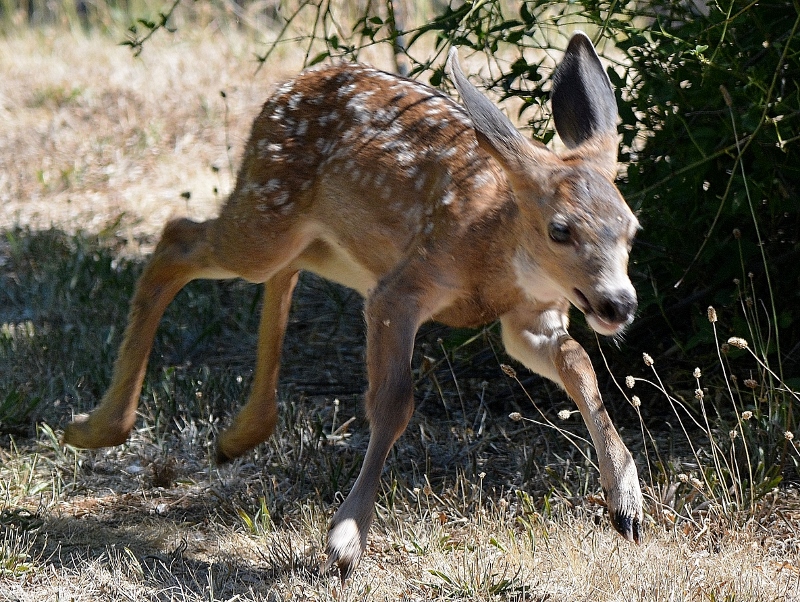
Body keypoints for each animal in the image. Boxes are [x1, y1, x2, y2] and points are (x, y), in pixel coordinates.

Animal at [65, 32, 648, 576]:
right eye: (560, 230)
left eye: (631, 230)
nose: (619, 303)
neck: (494, 249)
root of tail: (285, 87)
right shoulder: (402, 288)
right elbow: (393, 402)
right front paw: (345, 539)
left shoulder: (527, 318)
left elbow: (579, 363)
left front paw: (627, 504)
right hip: (267, 215)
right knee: (177, 236)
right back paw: (96, 428)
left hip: (327, 243)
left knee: (277, 269)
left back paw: (236, 434)